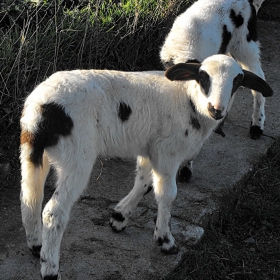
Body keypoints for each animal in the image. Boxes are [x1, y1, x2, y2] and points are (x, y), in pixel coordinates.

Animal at [20, 54, 274, 278]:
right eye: (203, 77)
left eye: (238, 81)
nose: (217, 109)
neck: (189, 100)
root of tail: (42, 108)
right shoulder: (167, 150)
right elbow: (166, 194)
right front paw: (165, 240)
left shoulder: (149, 148)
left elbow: (144, 182)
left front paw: (119, 218)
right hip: (77, 154)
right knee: (53, 212)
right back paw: (50, 270)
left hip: (32, 151)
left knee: (30, 199)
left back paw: (37, 247)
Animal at [160, 0, 266, 182]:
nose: (215, 112)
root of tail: (248, 2)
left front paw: (186, 169)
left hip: (245, 42)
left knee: (258, 78)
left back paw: (256, 126)